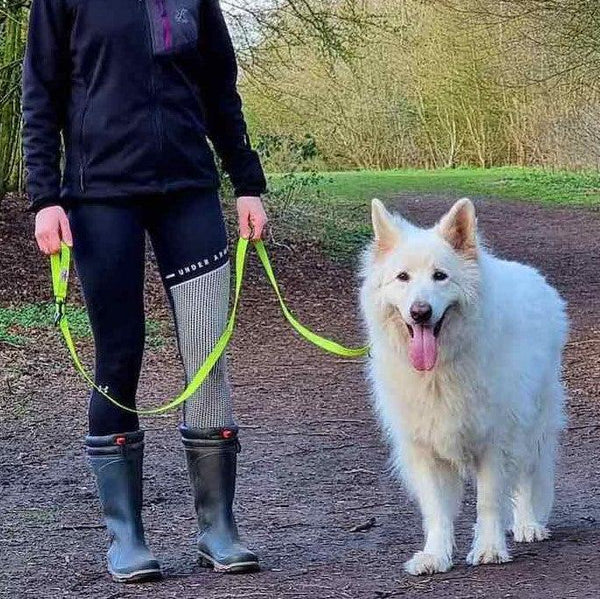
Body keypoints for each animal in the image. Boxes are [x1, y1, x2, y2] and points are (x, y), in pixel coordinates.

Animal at [360, 198, 568, 576]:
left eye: (440, 276)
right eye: (403, 277)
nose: (420, 312)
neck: (439, 370)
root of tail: (534, 276)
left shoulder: (496, 441)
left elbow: (488, 501)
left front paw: (489, 548)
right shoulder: (424, 448)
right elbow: (436, 511)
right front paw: (435, 555)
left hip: (533, 426)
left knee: (527, 478)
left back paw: (528, 524)